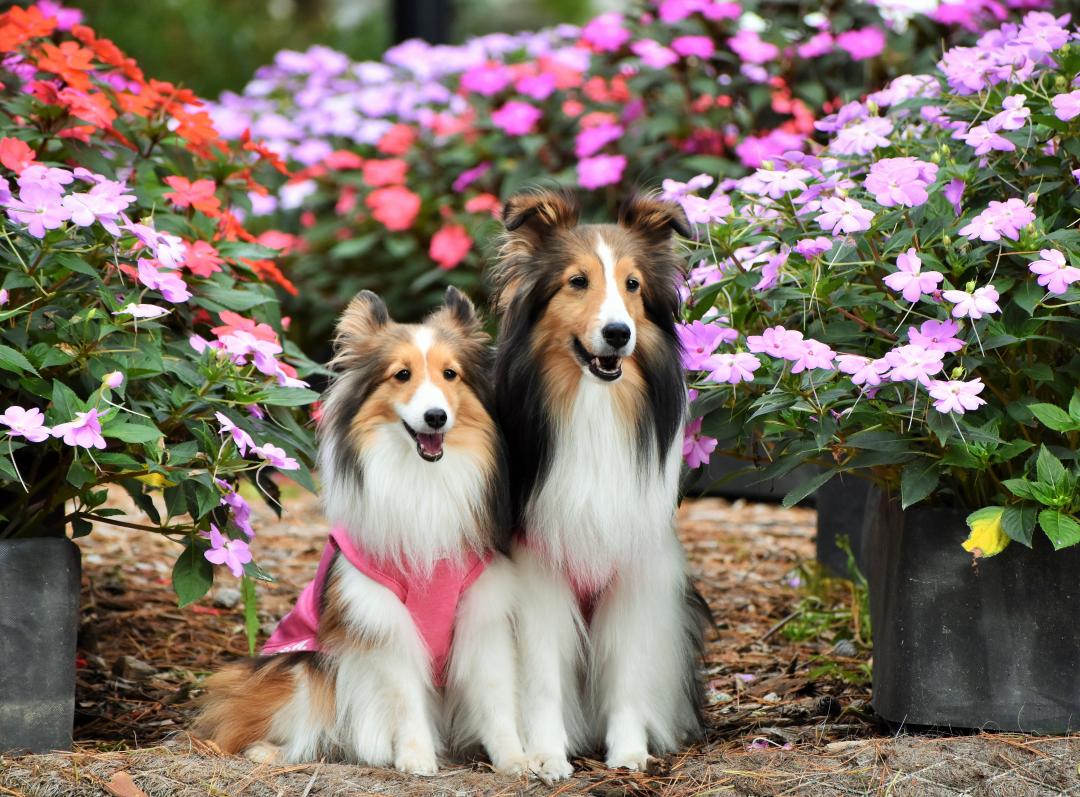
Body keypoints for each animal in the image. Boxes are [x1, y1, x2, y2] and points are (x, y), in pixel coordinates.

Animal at [197, 287, 531, 777]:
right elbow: (406, 699)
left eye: (450, 374)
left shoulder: (481, 613)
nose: (436, 417)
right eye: (401, 375)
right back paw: (270, 752)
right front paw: (416, 758)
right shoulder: (383, 622)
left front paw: (515, 760)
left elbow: (495, 698)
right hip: (301, 669)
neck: (424, 480)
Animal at [492, 187, 708, 777]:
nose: (618, 334)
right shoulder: (538, 573)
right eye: (576, 281)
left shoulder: (634, 576)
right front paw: (547, 755)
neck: (594, 407)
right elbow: (543, 678)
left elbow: (628, 674)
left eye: (632, 285)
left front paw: (629, 751)